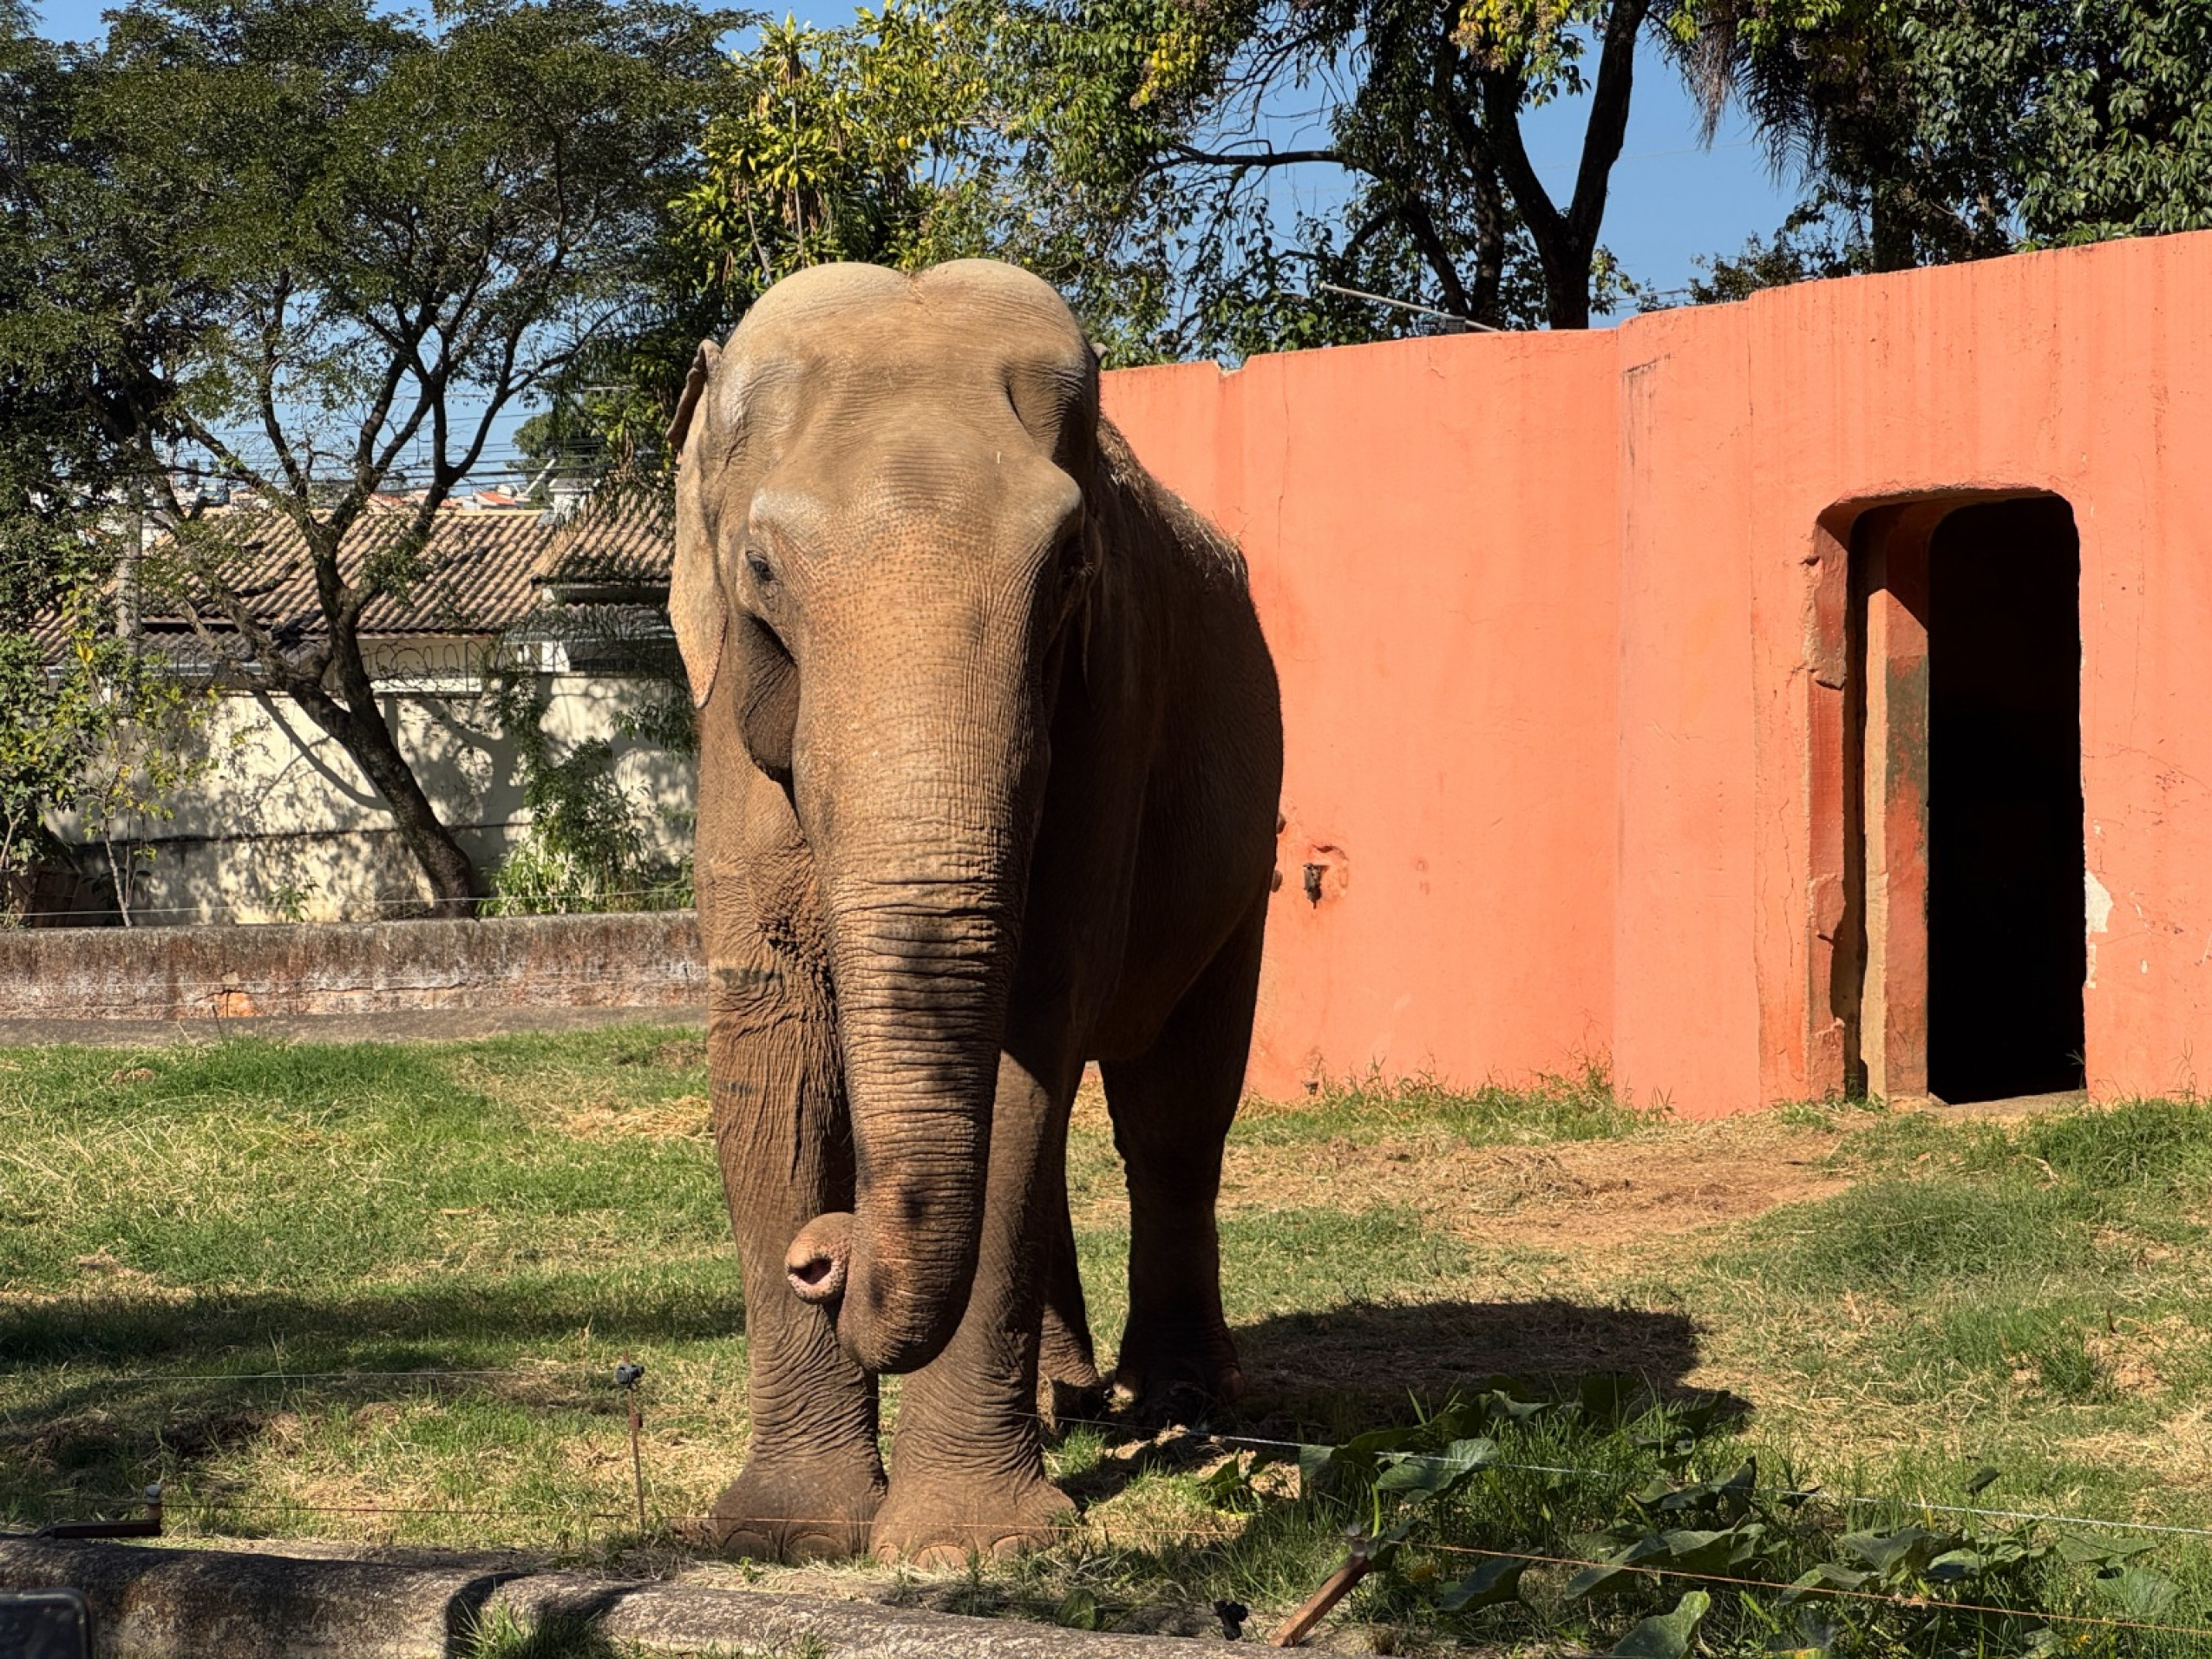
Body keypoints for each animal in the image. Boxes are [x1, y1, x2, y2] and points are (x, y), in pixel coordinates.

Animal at [664, 258, 1283, 1567]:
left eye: (1070, 570)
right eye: (761, 572)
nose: (824, 1254)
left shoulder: (1109, 713)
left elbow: (1027, 1045)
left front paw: (970, 1548)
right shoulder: (726, 733)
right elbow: (769, 1060)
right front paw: (785, 1534)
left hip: (1244, 850)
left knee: (1173, 1111)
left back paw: (1174, 1406)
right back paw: (1064, 1399)